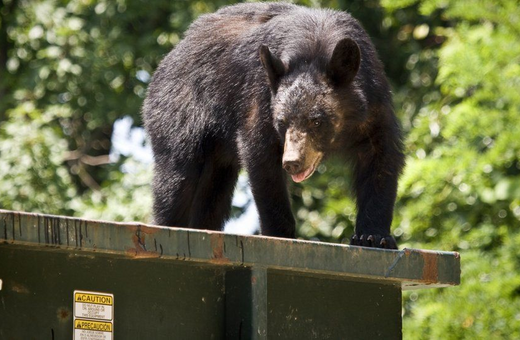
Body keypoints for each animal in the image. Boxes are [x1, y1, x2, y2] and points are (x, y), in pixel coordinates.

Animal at [143, 1, 406, 248]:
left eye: (317, 120)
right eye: (281, 121)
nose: (292, 162)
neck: (316, 48)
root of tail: (170, 56)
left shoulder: (375, 103)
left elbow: (381, 159)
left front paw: (374, 236)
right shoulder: (260, 97)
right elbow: (262, 158)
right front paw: (281, 233)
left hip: (217, 156)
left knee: (212, 194)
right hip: (179, 109)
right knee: (178, 178)